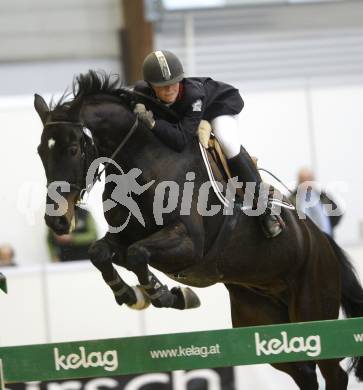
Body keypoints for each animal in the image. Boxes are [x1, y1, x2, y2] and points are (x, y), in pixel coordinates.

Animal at [34, 71, 363, 388]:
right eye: (40, 151)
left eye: (73, 149)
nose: (57, 222)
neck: (142, 163)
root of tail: (321, 239)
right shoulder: (125, 236)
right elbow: (101, 252)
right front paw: (134, 294)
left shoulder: (189, 244)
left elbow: (137, 254)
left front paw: (165, 295)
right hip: (263, 320)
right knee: (304, 371)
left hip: (313, 305)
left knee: (334, 373)